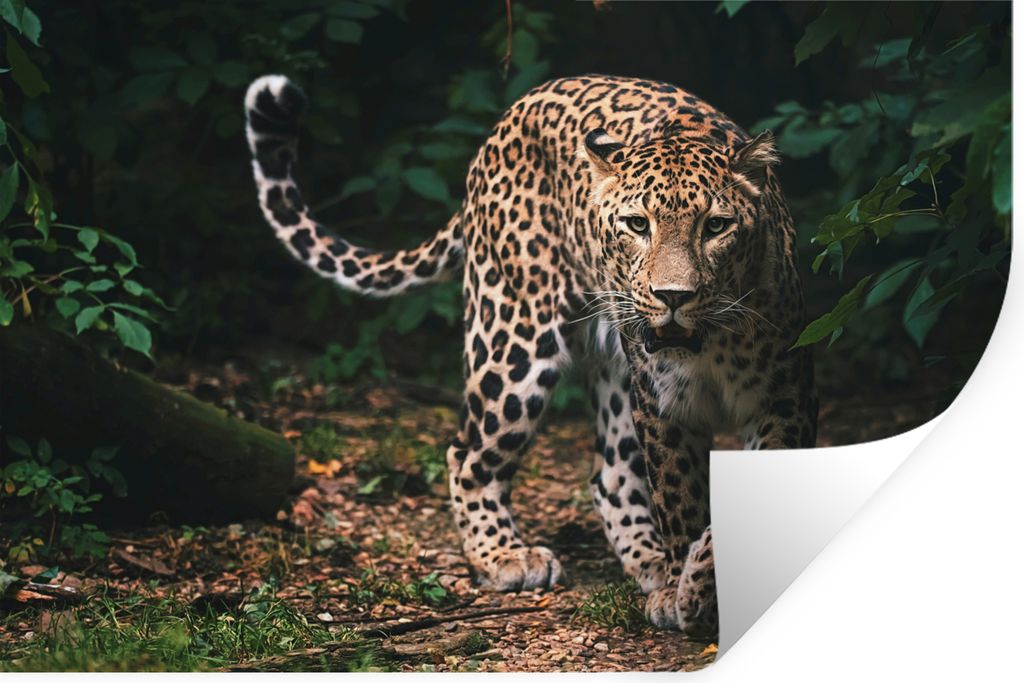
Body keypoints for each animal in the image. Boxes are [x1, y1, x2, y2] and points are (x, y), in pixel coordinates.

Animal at [245, 73, 817, 639]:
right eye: (637, 225)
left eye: (716, 226)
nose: (672, 296)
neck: (711, 343)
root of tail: (511, 114)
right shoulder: (664, 407)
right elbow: (682, 504)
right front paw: (692, 595)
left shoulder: (785, 398)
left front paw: (700, 587)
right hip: (513, 339)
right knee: (467, 452)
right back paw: (506, 557)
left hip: (612, 370)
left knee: (610, 474)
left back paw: (650, 568)